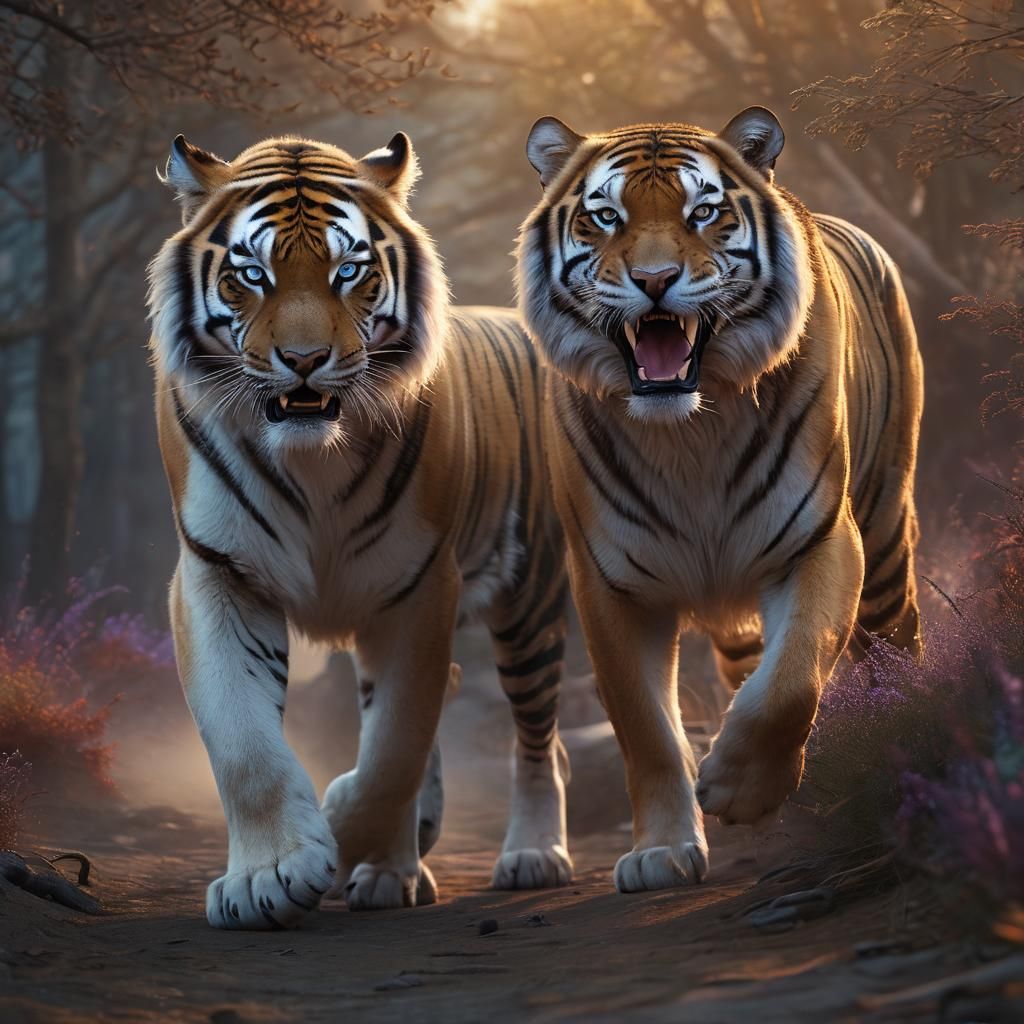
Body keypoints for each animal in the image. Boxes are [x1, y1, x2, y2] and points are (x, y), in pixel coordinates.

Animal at [147, 132, 572, 930]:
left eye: (349, 271)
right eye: (251, 274)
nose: (304, 361)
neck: (312, 457)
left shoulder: (417, 584)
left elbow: (394, 750)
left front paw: (337, 824)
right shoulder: (219, 574)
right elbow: (243, 743)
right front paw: (268, 875)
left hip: (530, 599)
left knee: (538, 737)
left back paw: (527, 855)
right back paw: (396, 866)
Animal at [516, 106, 923, 892]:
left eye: (702, 213)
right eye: (604, 217)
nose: (654, 281)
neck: (690, 434)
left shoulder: (821, 541)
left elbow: (792, 677)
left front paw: (739, 789)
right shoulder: (610, 585)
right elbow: (645, 728)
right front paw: (662, 851)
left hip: (888, 531)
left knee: (896, 642)